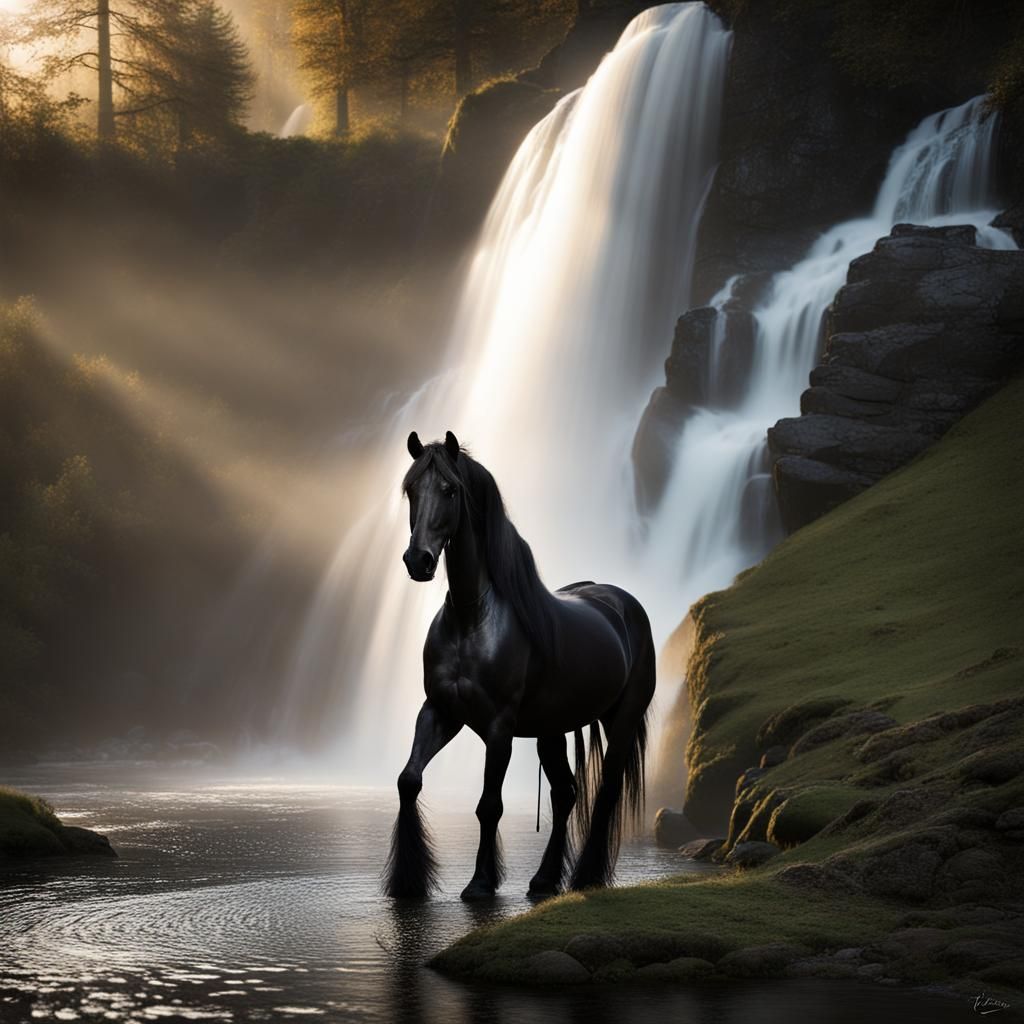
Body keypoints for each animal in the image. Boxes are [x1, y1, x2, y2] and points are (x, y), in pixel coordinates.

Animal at [383, 430, 656, 900]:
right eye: (411, 489)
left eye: (450, 489)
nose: (418, 561)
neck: (471, 617)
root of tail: (624, 605)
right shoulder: (439, 711)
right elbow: (409, 780)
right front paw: (408, 880)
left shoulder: (499, 727)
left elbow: (489, 805)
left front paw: (480, 882)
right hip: (552, 731)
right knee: (566, 794)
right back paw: (545, 879)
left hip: (619, 721)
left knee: (603, 794)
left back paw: (586, 876)